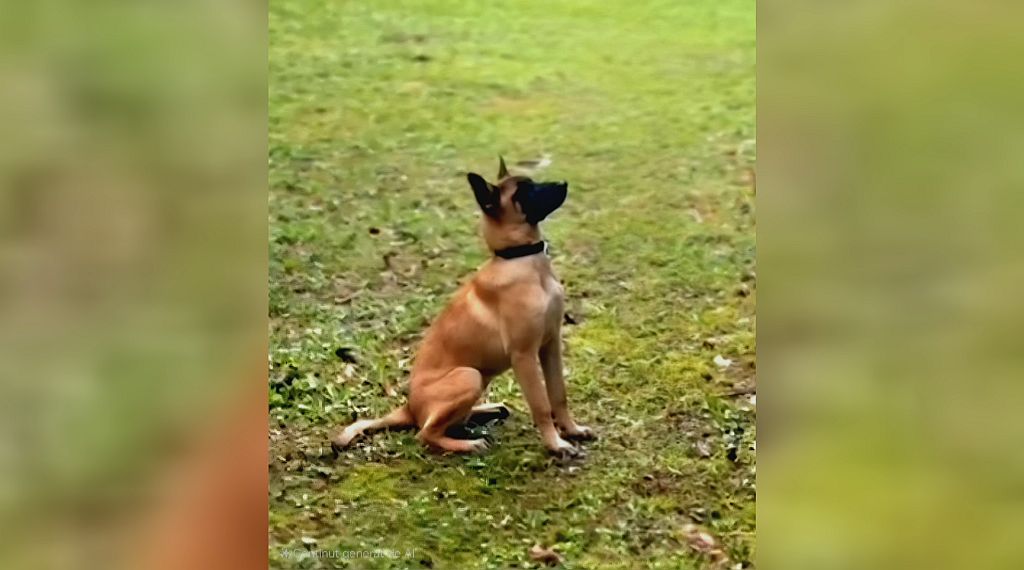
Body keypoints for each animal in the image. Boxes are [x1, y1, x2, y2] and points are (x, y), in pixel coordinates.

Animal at [332, 157, 594, 455]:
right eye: (525, 192)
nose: (564, 183)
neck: (521, 260)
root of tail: (409, 408)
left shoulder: (550, 345)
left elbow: (558, 394)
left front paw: (572, 430)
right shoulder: (524, 355)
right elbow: (541, 405)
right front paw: (555, 444)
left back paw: (487, 410)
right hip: (469, 376)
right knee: (425, 433)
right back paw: (468, 443)